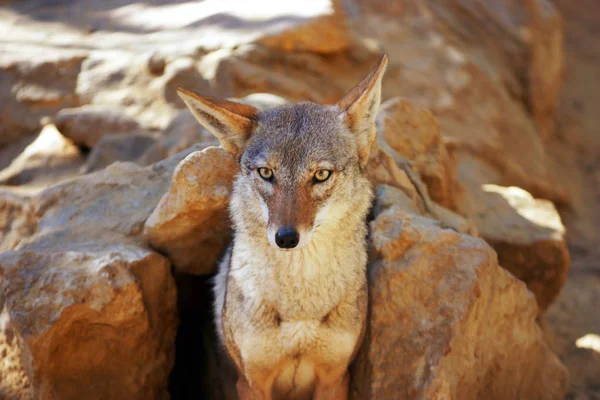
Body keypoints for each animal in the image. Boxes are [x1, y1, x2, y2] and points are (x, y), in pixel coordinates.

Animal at [176, 54, 386, 400]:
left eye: (321, 175)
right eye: (266, 173)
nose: (285, 238)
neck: (300, 308)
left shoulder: (335, 378)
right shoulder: (251, 381)